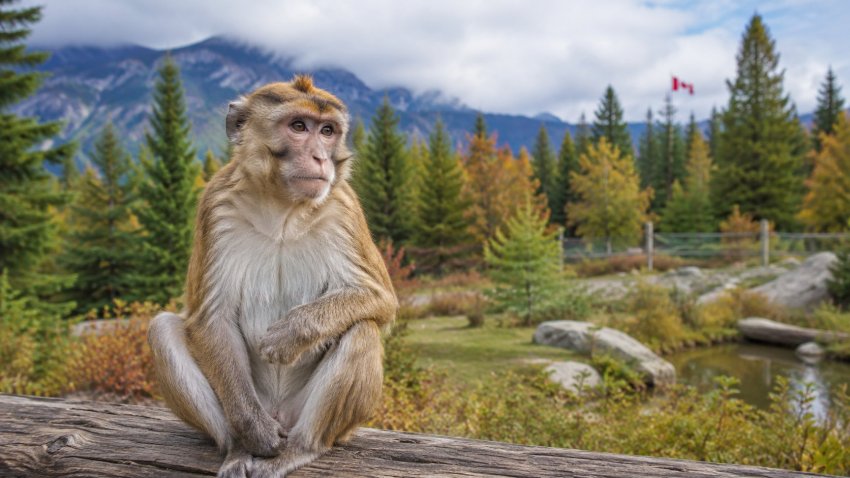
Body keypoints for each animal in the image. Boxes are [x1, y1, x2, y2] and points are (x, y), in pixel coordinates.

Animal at [147, 75, 398, 478]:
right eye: (298, 126)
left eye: (327, 131)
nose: (320, 158)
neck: (282, 208)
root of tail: (281, 414)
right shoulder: (215, 205)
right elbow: (212, 317)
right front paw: (254, 433)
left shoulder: (344, 207)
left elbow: (378, 298)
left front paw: (293, 332)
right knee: (162, 328)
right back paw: (238, 447)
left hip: (316, 421)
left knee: (362, 329)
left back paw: (299, 449)